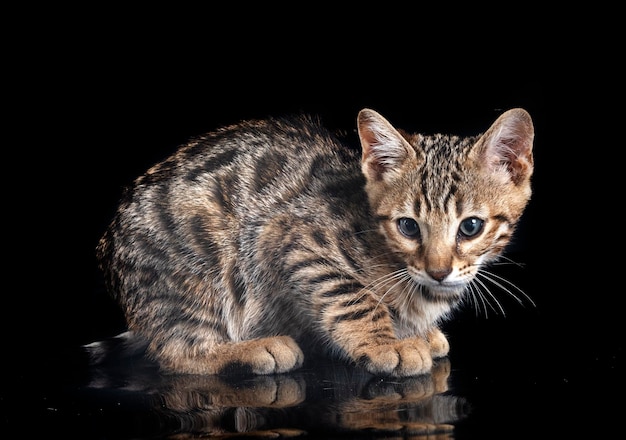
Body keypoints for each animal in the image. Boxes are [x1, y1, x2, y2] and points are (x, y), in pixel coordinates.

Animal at [95, 108, 532, 376]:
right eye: (408, 227)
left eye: (470, 227)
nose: (438, 271)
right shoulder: (292, 239)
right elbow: (354, 297)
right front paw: (386, 343)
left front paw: (415, 331)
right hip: (191, 265)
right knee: (175, 352)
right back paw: (252, 349)